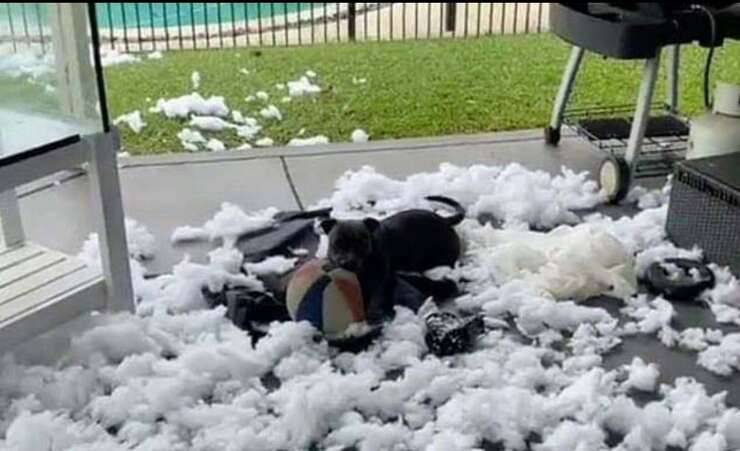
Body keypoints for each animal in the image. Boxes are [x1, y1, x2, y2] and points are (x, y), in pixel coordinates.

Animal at [320, 197, 466, 322]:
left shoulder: (380, 278)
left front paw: (373, 311)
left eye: (362, 244)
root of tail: (445, 220)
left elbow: (377, 295)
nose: (348, 262)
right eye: (337, 243)